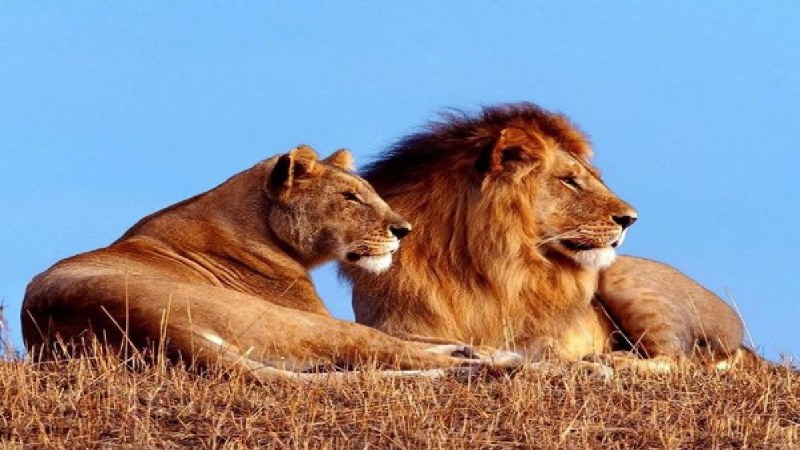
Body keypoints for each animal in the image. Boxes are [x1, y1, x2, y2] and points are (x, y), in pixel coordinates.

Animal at [21, 145, 518, 379]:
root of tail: (149, 328)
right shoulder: (310, 313)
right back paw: (498, 361)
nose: (405, 230)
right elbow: (402, 338)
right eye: (350, 197)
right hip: (290, 322)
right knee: (377, 350)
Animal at [341, 103, 752, 371]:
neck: (478, 266)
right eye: (570, 180)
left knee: (680, 361)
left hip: (624, 279)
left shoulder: (538, 336)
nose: (630, 219)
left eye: (593, 177)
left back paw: (611, 360)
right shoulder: (389, 323)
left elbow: (538, 350)